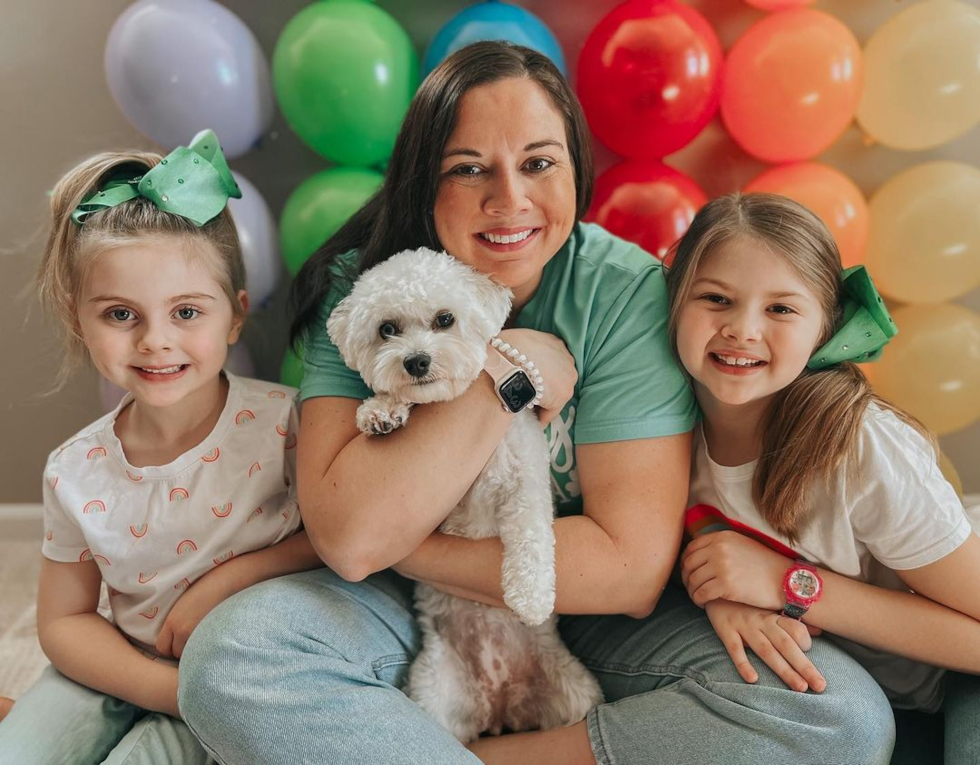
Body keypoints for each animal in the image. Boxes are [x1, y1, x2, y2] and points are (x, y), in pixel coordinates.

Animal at [330, 249, 600, 740]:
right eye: (386, 329)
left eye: (445, 319)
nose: (416, 361)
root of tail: (499, 707)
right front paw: (381, 411)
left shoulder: (525, 480)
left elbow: (532, 537)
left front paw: (531, 597)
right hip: (433, 691)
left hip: (577, 695)